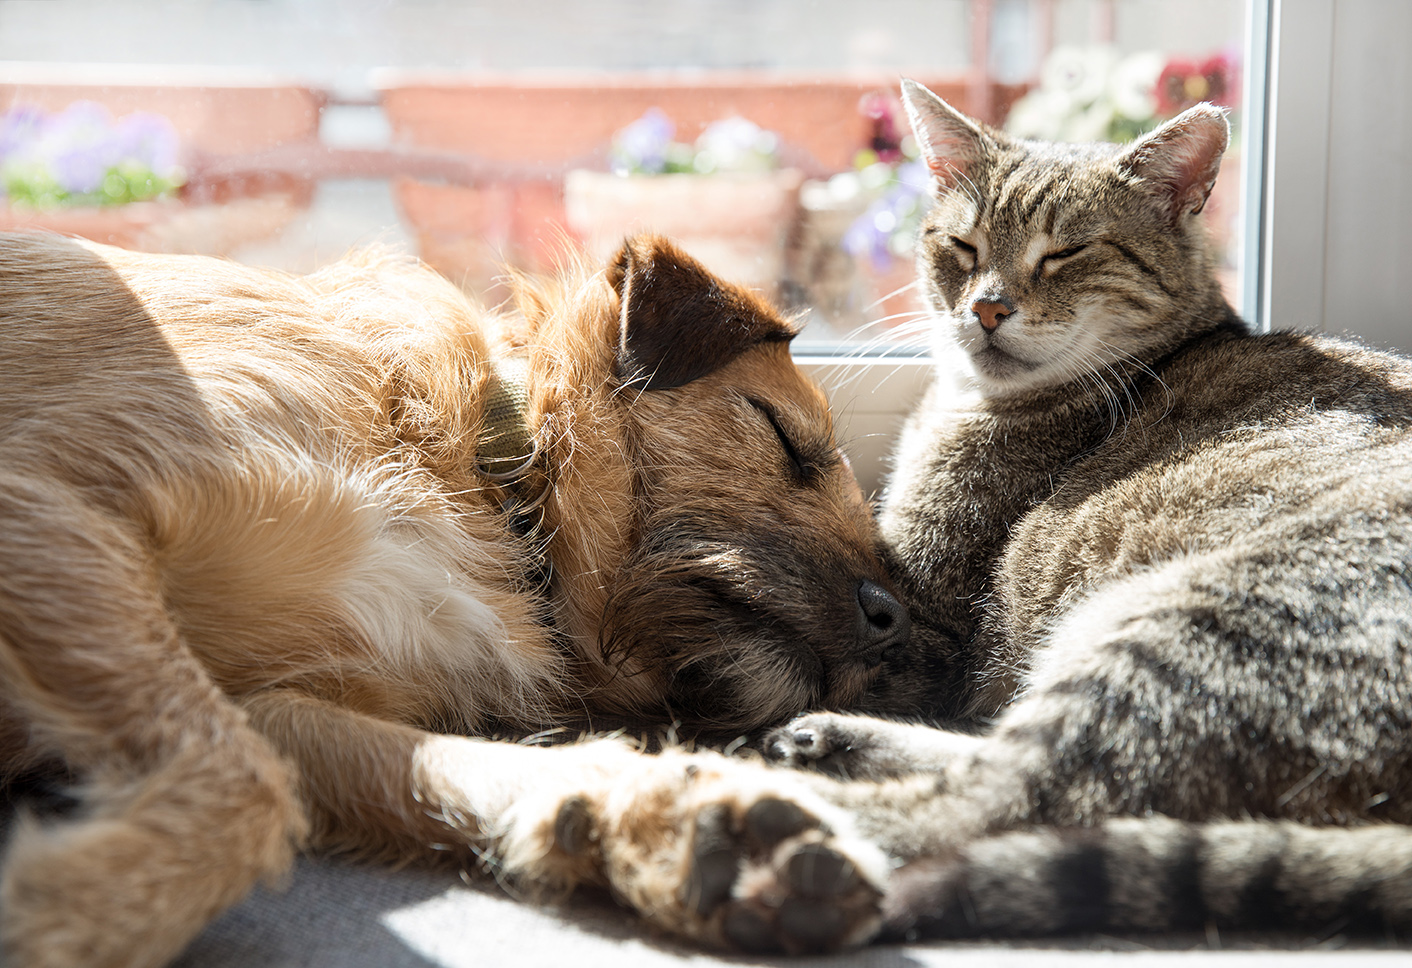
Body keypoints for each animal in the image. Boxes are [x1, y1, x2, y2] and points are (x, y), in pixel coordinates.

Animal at [0, 237, 903, 968]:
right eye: (785, 437)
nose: (895, 619)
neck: (490, 475)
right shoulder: (43, 495)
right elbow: (247, 790)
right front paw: (69, 913)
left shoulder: (269, 697)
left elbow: (370, 764)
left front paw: (658, 815)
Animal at [768, 79, 1412, 942]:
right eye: (963, 246)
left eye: (1065, 254)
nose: (988, 308)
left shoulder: (918, 623)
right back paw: (818, 741)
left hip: (1186, 633)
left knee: (993, 804)